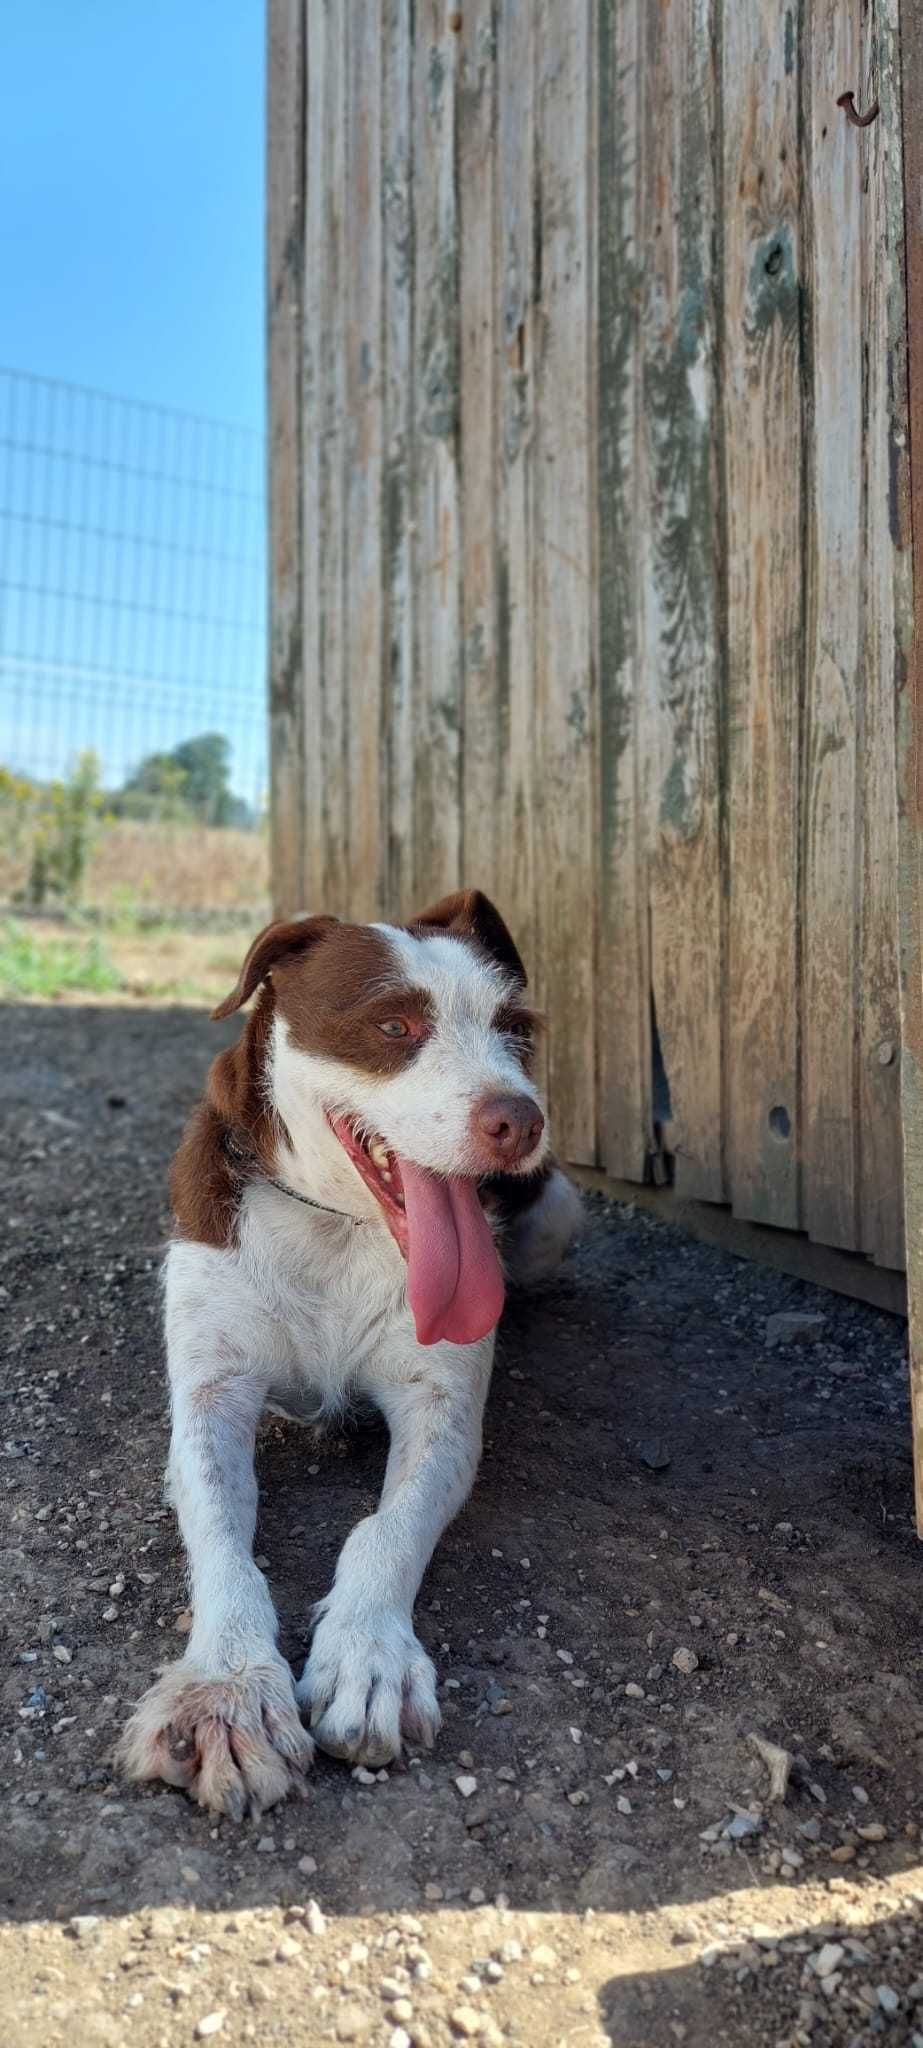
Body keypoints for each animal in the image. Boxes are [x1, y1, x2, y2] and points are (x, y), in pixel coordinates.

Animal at [115, 888, 577, 1818]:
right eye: (394, 1025)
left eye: (514, 1029)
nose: (520, 1120)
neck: (332, 1224)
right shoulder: (211, 1396)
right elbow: (221, 1536)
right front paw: (226, 1689)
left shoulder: (442, 1412)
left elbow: (385, 1529)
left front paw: (369, 1656)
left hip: (558, 1212)